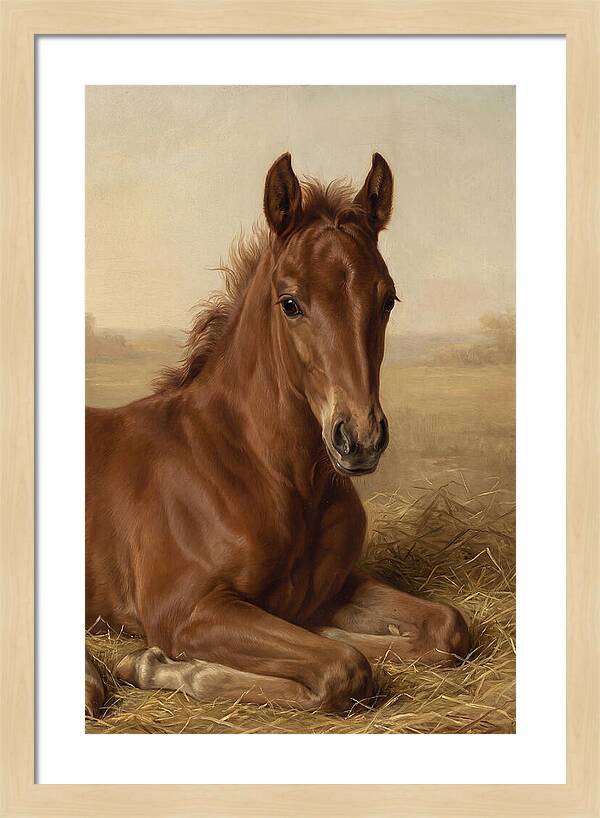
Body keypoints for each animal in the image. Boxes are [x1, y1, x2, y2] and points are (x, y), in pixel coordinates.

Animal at [85, 152, 470, 717]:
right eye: (290, 303)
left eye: (388, 300)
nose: (360, 438)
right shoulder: (185, 611)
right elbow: (343, 667)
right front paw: (156, 665)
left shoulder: (334, 587)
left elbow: (446, 627)